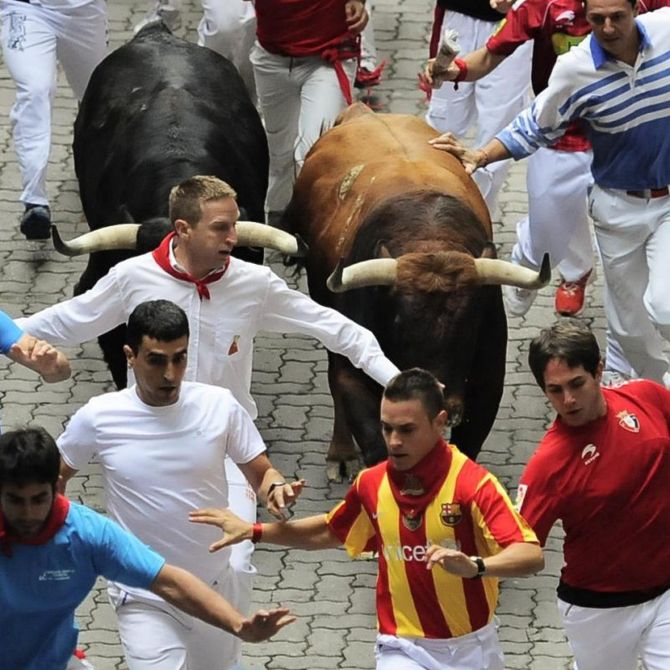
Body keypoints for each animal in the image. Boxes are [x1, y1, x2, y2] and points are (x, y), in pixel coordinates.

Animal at [280, 105, 548, 478]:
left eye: (470, 322)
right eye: (398, 322)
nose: (442, 400)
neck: (428, 239)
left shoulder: (488, 382)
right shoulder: (354, 375)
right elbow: (372, 438)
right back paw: (340, 452)